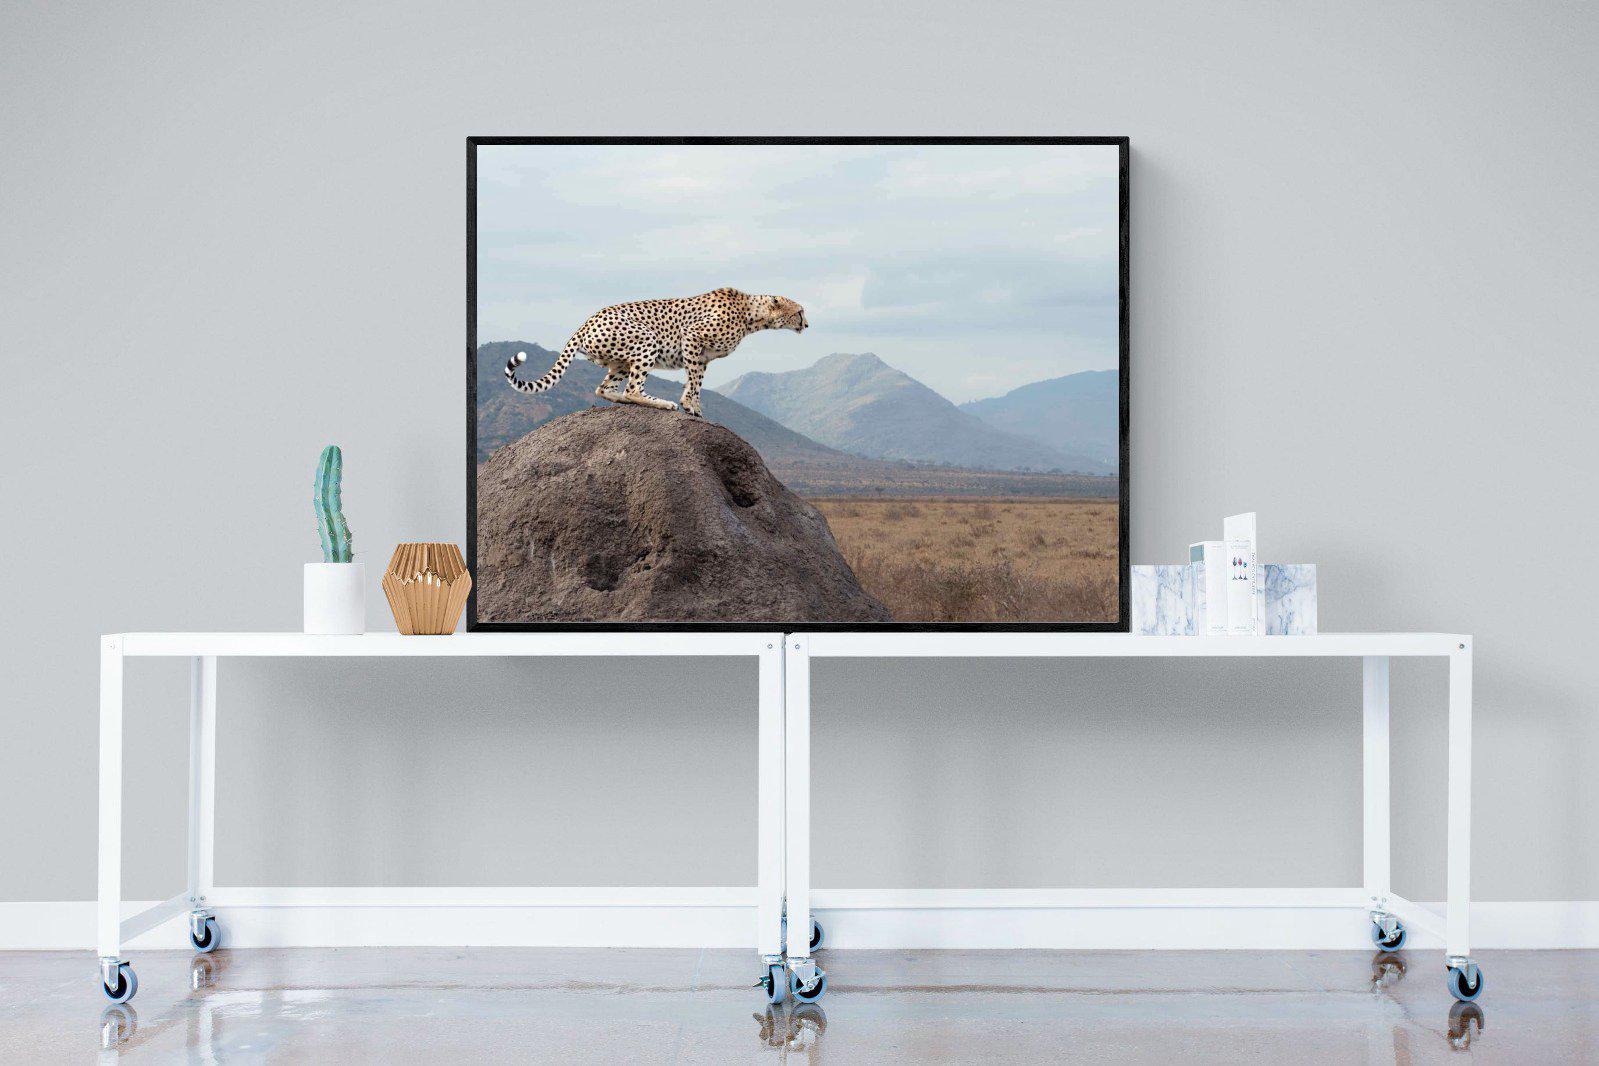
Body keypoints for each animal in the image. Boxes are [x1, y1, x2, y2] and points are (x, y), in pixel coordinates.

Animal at [505, 287, 807, 418]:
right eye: (800, 311)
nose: (807, 324)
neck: (751, 315)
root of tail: (586, 322)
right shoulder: (691, 337)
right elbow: (693, 381)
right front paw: (687, 405)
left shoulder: (703, 356)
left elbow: (696, 381)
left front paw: (695, 407)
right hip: (647, 340)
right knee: (633, 389)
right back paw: (661, 403)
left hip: (620, 361)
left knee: (605, 389)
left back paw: (625, 401)